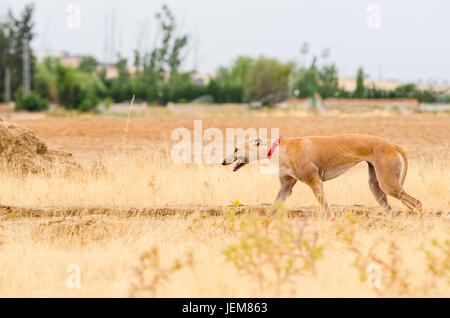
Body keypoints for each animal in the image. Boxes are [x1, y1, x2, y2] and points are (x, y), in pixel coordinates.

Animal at [221, 134, 422, 219]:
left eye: (236, 148)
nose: (223, 161)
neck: (278, 148)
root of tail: (391, 144)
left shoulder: (315, 182)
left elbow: (326, 208)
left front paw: (332, 221)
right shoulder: (286, 187)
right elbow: (273, 206)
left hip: (389, 184)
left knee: (418, 203)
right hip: (376, 185)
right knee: (388, 207)